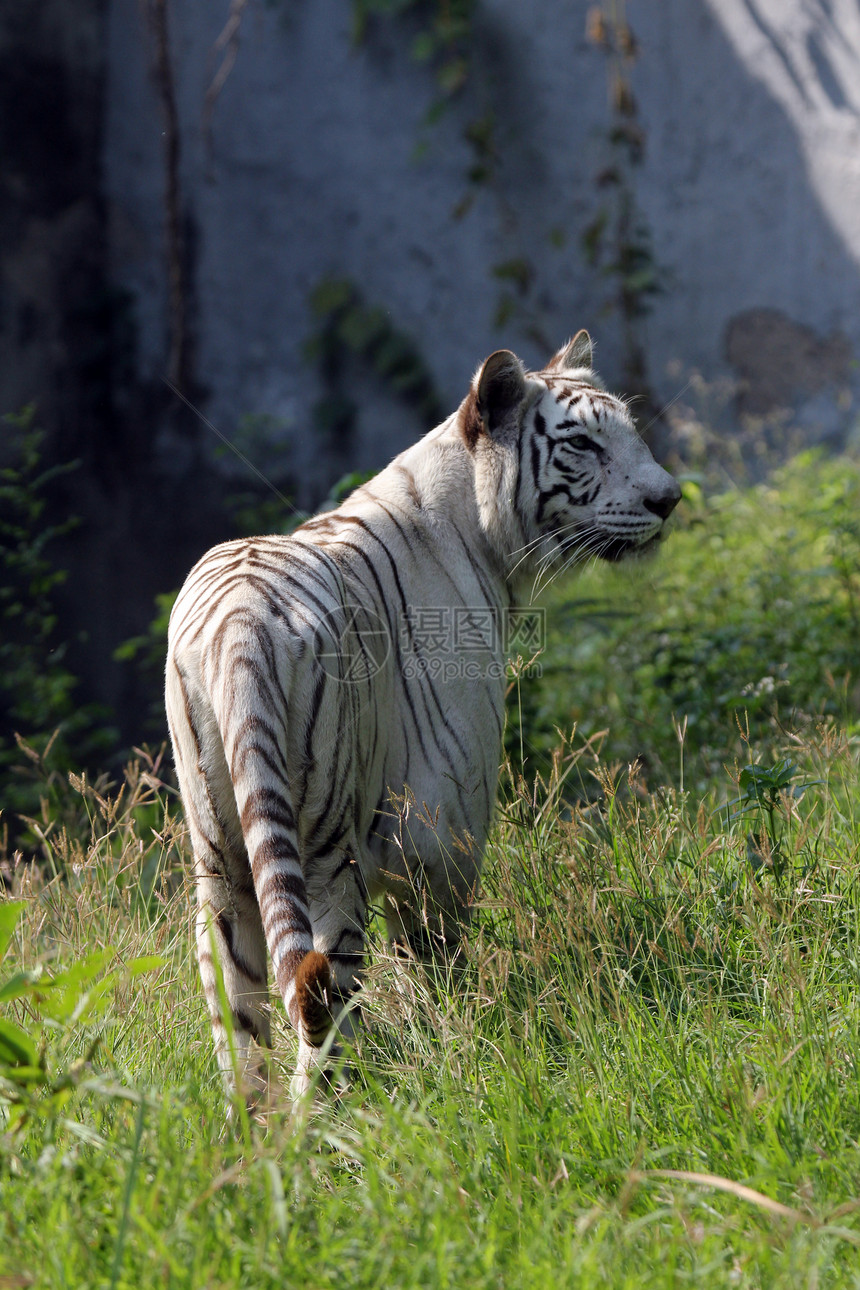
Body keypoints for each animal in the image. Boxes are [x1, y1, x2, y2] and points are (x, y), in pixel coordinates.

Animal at [166, 332, 680, 1099]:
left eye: (631, 430)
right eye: (584, 443)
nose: (670, 498)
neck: (480, 534)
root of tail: (241, 622)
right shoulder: (443, 829)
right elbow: (434, 964)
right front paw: (459, 1050)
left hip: (219, 864)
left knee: (244, 1038)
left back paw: (255, 1133)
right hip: (325, 849)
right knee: (324, 1011)